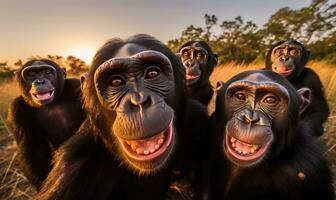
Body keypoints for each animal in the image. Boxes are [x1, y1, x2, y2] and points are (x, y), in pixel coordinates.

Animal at [6, 58, 86, 188]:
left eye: (47, 72)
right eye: (31, 74)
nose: (40, 81)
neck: (52, 104)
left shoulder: (76, 87)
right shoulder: (16, 110)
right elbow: (34, 152)